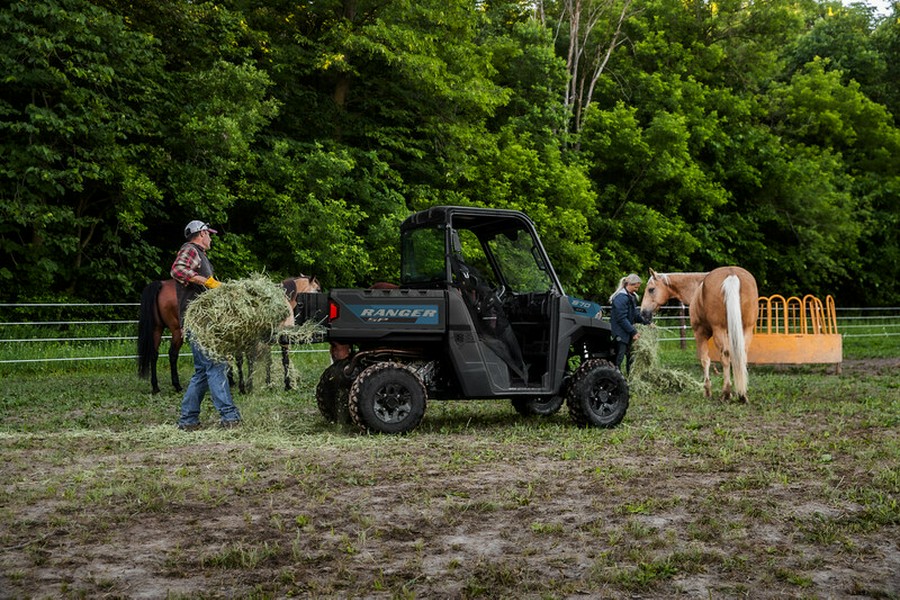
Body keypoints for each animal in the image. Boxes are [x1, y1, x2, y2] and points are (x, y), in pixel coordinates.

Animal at [137, 276, 320, 394]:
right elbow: (281, 360)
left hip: (157, 329)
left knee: (154, 354)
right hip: (177, 331)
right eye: (318, 289)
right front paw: (284, 385)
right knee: (172, 354)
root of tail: (160, 284)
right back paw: (176, 385)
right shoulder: (279, 339)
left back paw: (156, 386)